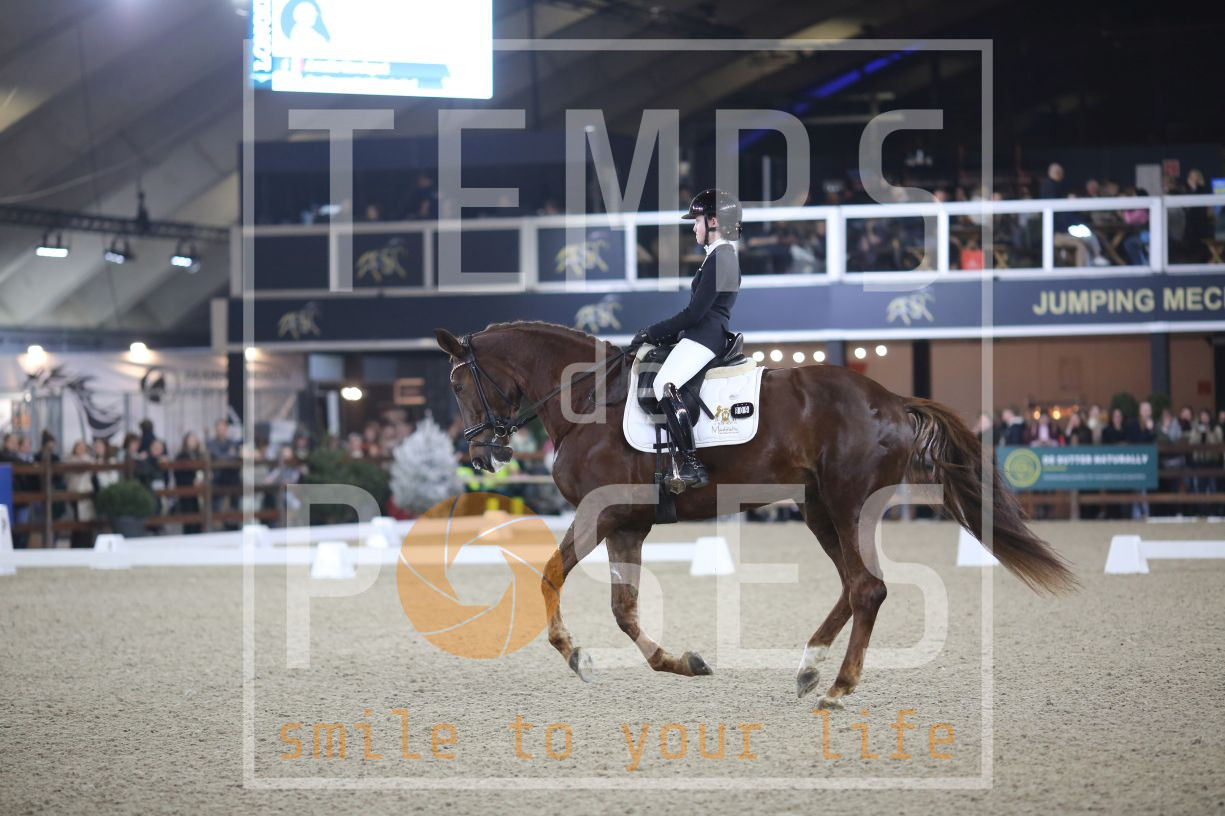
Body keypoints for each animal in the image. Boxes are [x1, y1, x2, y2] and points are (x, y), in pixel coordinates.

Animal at [435, 321, 1076, 709]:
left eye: (461, 386)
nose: (481, 455)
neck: (587, 400)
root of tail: (893, 401)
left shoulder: (600, 513)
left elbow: (549, 575)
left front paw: (577, 656)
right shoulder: (628, 523)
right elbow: (623, 608)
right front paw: (681, 662)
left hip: (848, 502)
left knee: (868, 588)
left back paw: (837, 687)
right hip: (817, 506)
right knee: (853, 585)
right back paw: (810, 666)